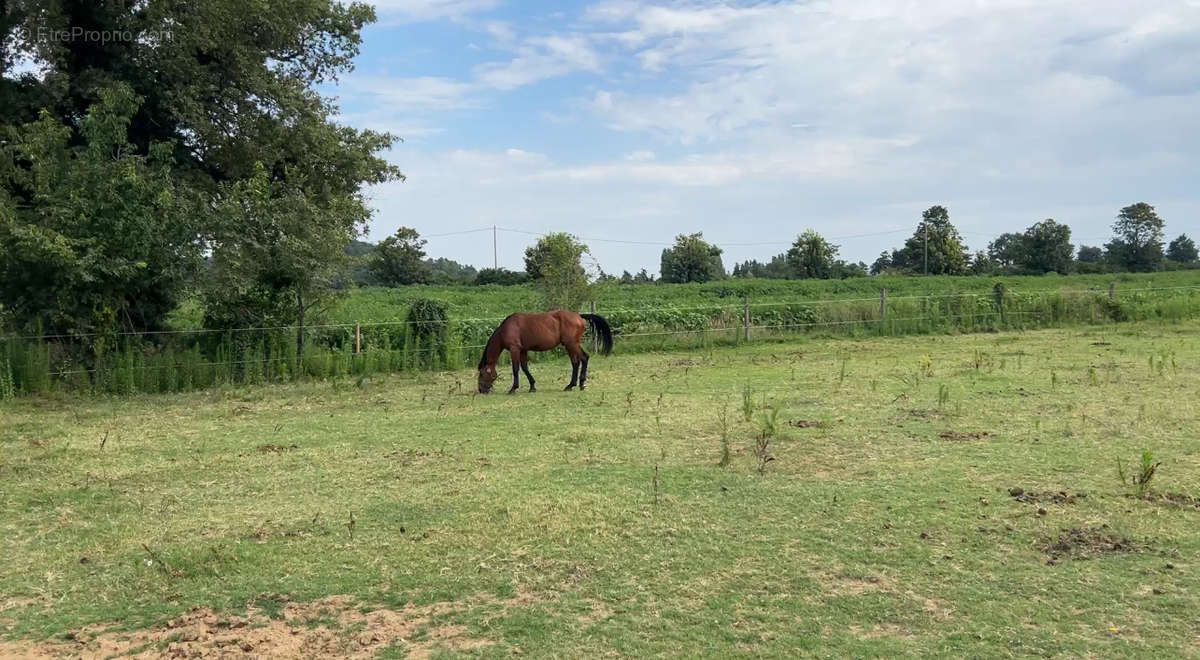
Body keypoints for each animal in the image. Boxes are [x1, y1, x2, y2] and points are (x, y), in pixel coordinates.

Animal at [475, 309, 614, 393]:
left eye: (481, 374)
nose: (481, 390)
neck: (507, 328)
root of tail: (578, 316)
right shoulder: (523, 350)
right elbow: (525, 367)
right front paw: (532, 387)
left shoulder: (514, 349)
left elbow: (515, 369)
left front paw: (513, 389)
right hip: (570, 345)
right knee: (575, 362)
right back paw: (571, 385)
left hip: (571, 344)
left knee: (584, 358)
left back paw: (580, 384)